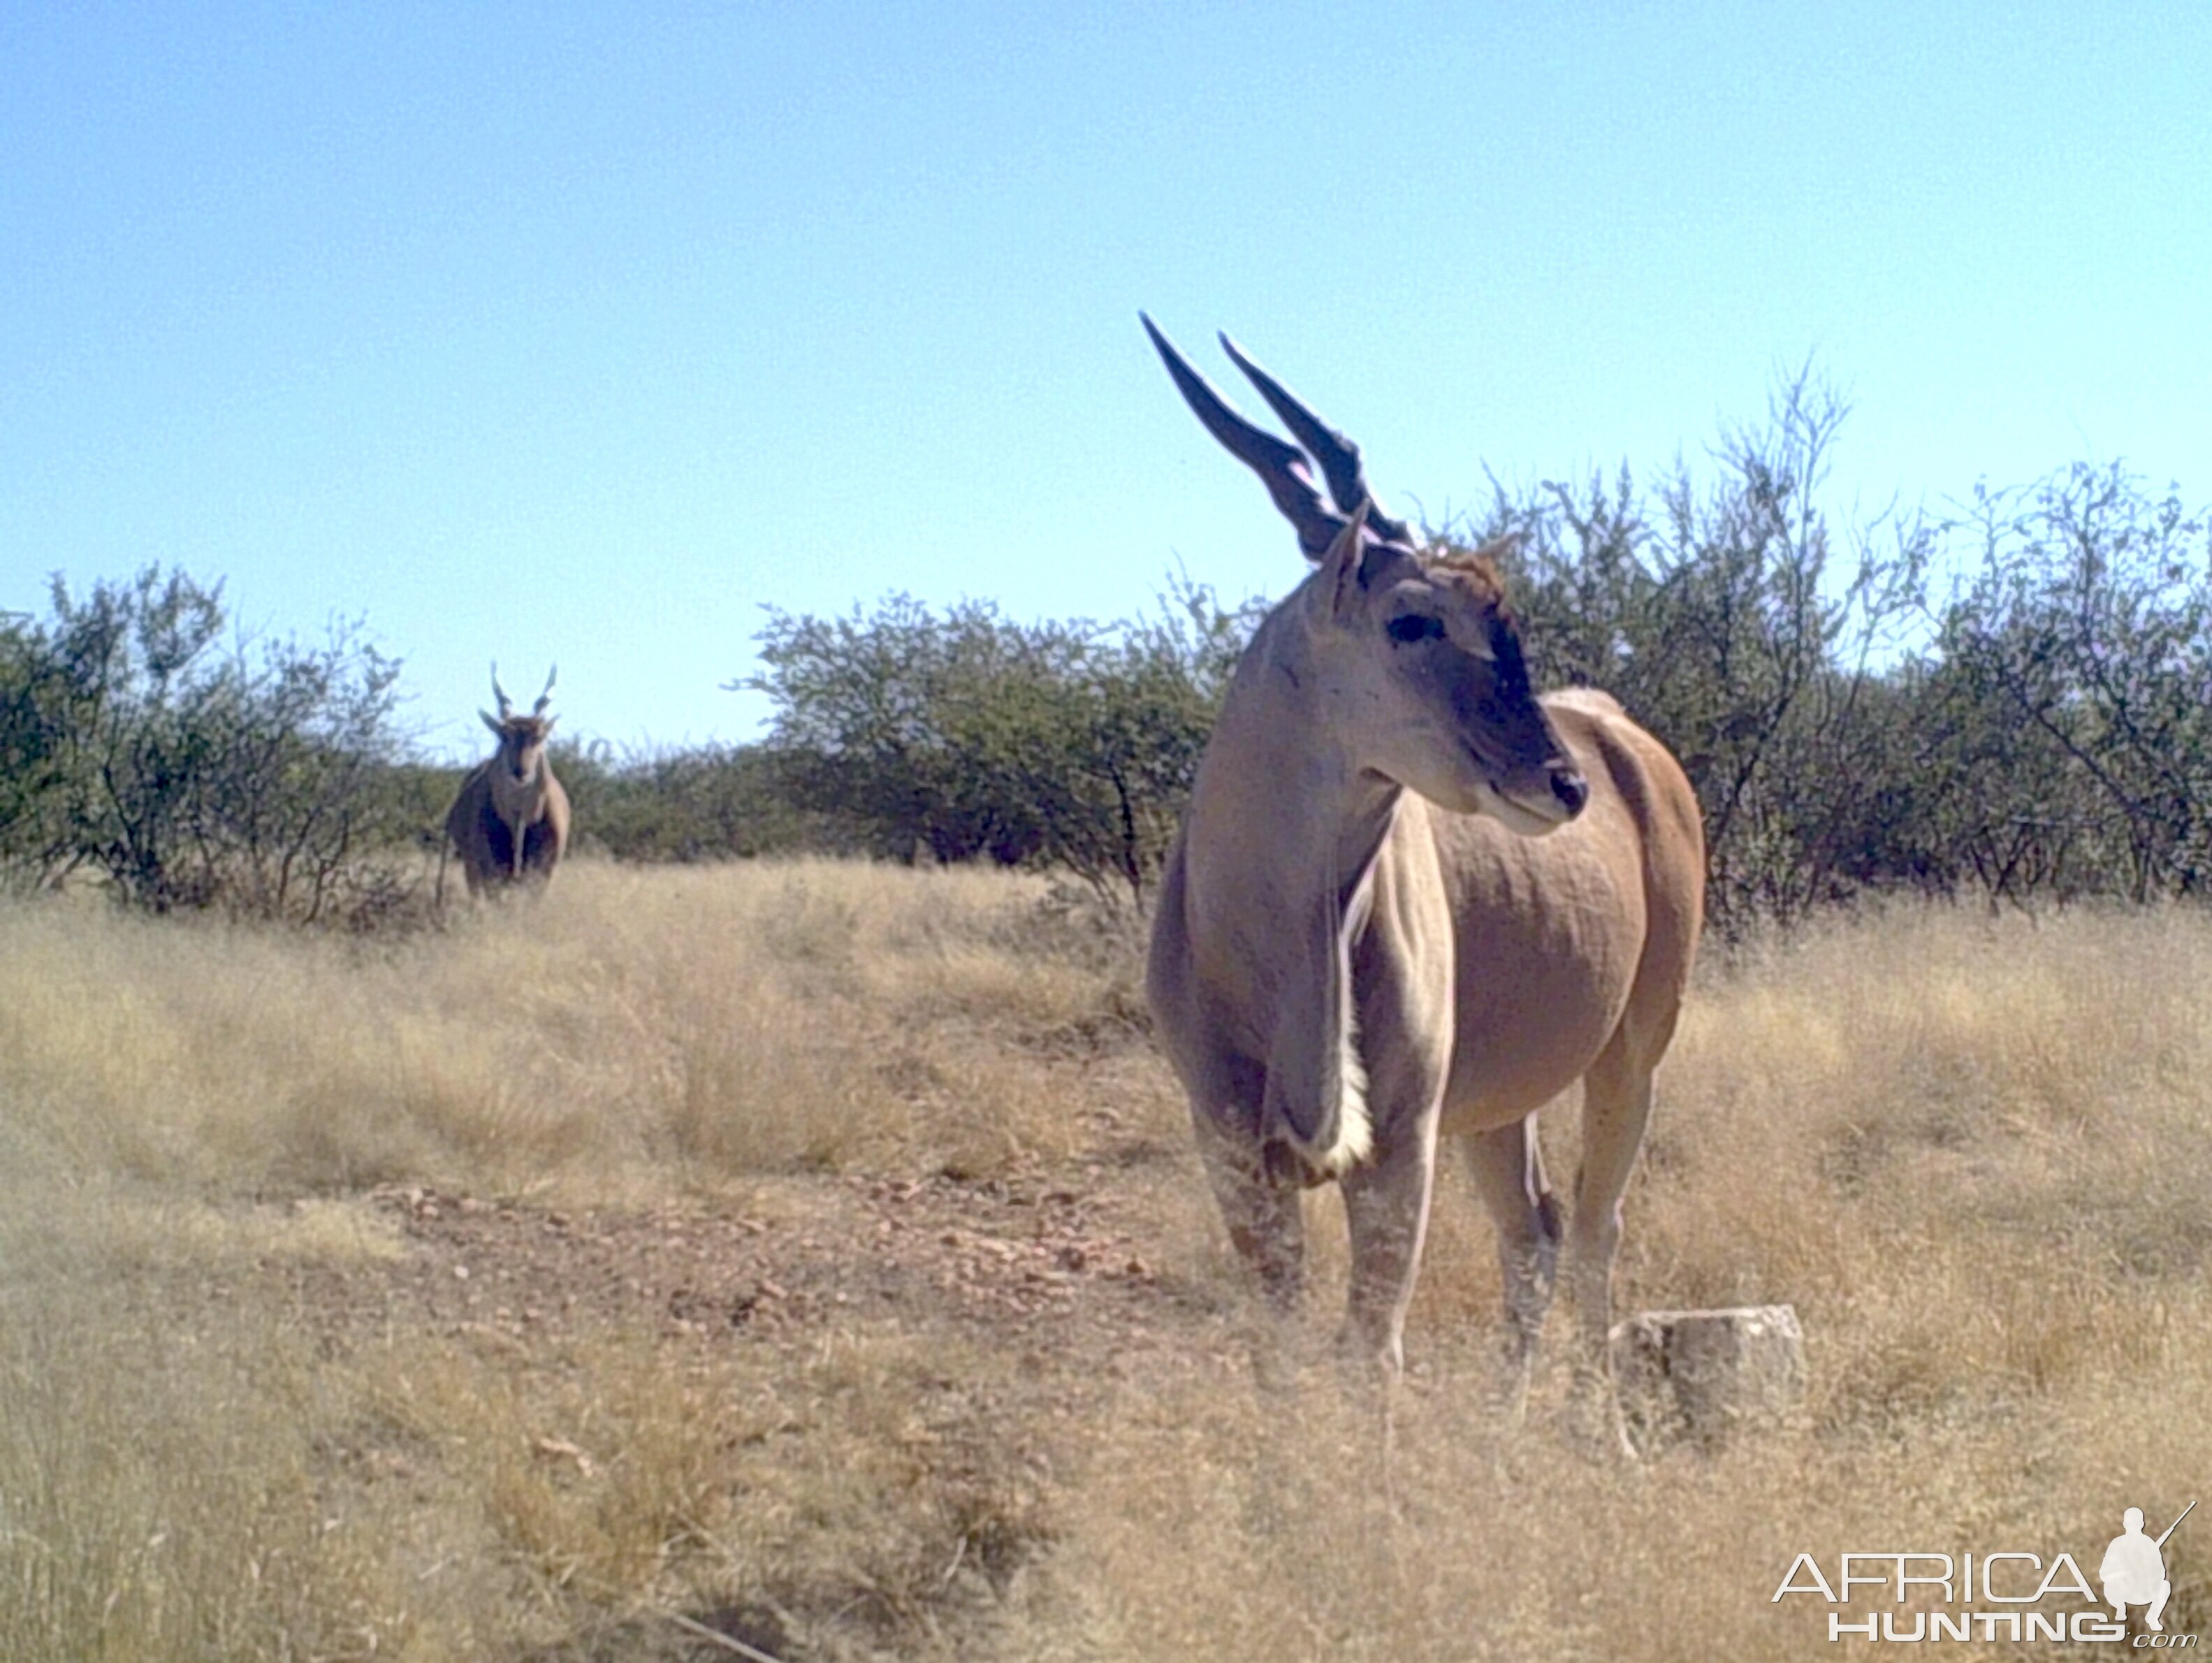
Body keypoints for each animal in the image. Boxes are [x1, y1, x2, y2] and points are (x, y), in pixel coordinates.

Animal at [440, 663, 570, 902]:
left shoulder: (543, 873)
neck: (520, 818)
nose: (520, 772)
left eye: (538, 737)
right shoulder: (491, 870)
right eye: (503, 736)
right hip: (472, 867)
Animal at [1150, 320, 1698, 1441]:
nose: (1563, 783)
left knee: (1594, 1233)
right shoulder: (1228, 1146)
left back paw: (1610, 1440)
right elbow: (1280, 1354)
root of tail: (1629, 742)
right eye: (1413, 621)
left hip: (1632, 1054)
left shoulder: (1399, 1148)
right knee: (1534, 1233)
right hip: (1495, 1108)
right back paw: (1498, 1435)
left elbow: (1373, 1355)